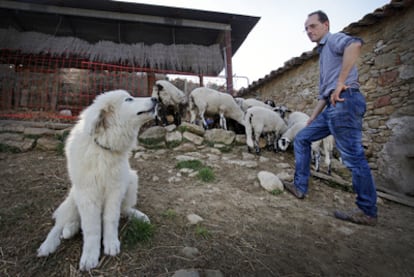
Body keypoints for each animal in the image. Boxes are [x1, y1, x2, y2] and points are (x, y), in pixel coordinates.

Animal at [37, 90, 157, 270]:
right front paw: (89, 257)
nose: (155, 99)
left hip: (131, 180)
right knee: (60, 223)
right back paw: (50, 243)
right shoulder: (87, 194)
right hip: (73, 198)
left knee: (125, 209)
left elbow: (111, 219)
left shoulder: (115, 191)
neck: (103, 149)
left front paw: (111, 243)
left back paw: (139, 216)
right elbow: (91, 228)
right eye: (128, 99)